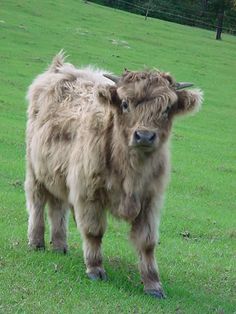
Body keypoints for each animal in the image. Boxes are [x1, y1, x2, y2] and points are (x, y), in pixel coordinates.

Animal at [25, 52, 203, 300]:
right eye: (125, 103)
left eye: (167, 108)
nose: (144, 136)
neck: (131, 172)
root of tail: (62, 68)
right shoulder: (88, 192)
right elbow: (94, 231)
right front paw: (95, 269)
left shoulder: (151, 200)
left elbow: (147, 242)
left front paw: (153, 284)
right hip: (35, 170)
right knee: (37, 203)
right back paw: (36, 242)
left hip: (57, 174)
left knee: (57, 208)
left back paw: (60, 246)